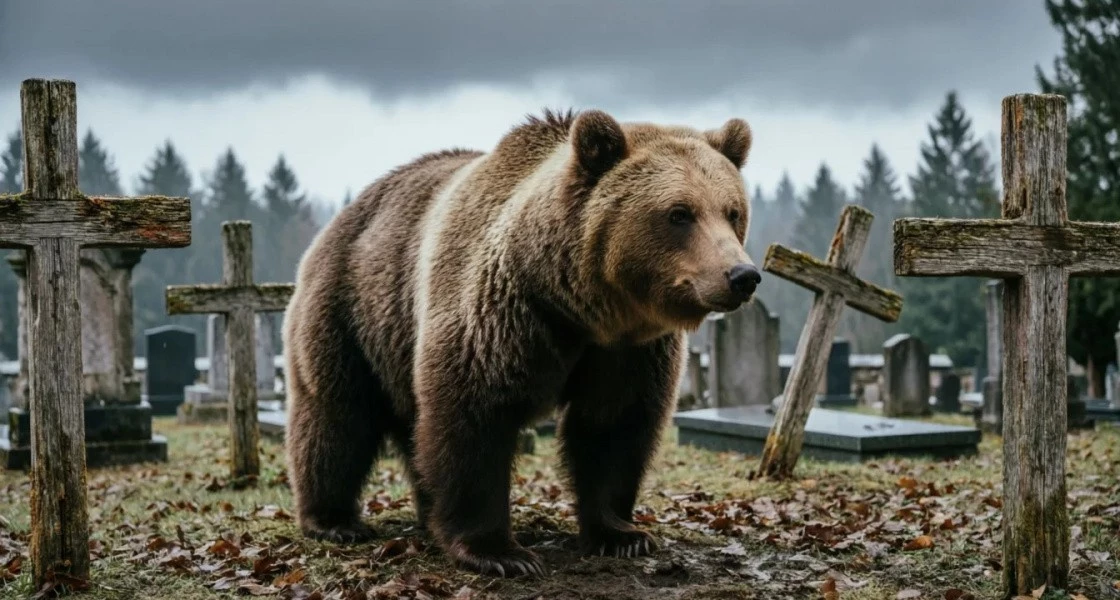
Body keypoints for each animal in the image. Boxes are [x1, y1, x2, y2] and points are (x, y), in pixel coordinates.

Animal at [282, 108, 760, 577]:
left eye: (732, 211)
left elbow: (613, 425)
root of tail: (343, 216)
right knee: (337, 417)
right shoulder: (498, 317)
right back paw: (334, 521)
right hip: (353, 312)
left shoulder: (627, 351)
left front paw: (623, 535)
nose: (742, 275)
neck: (580, 308)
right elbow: (473, 418)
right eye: (679, 213)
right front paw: (501, 552)